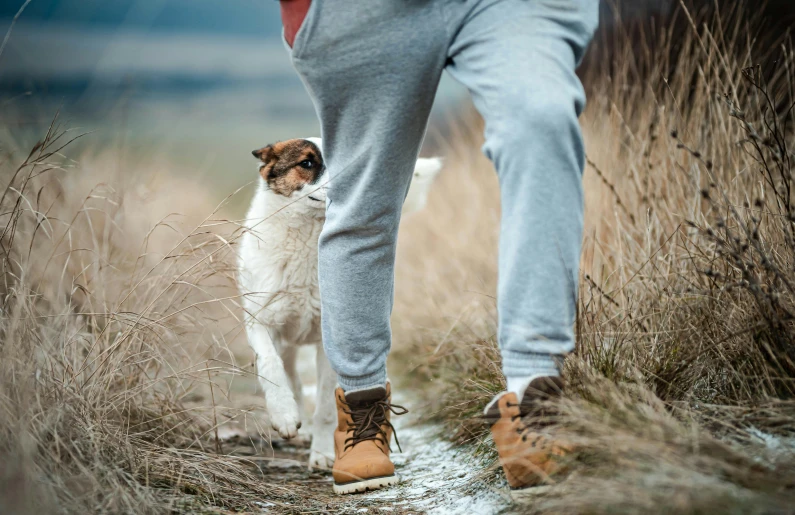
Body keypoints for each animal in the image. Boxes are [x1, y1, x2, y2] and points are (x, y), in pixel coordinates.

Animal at [239, 138, 444, 472]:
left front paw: (322, 454)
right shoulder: (260, 321)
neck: (307, 243)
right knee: (291, 376)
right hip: (286, 342)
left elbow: (324, 406)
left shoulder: (329, 341)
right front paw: (284, 416)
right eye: (307, 163)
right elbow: (270, 367)